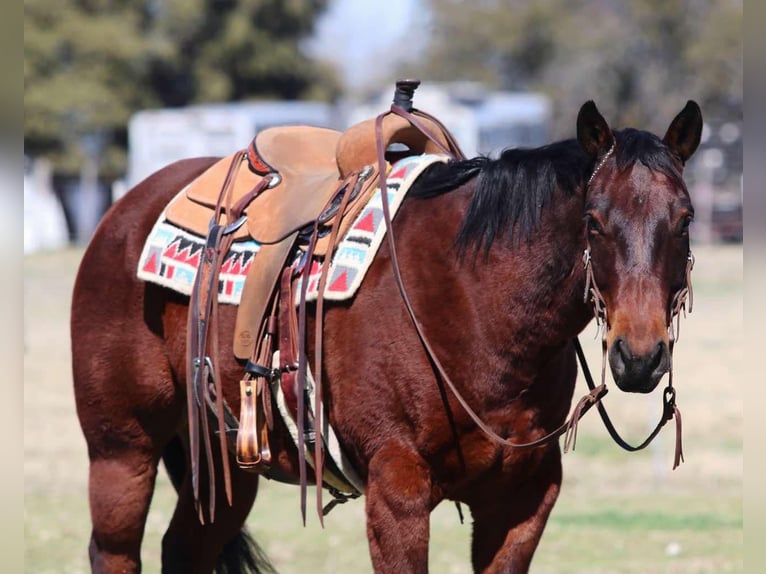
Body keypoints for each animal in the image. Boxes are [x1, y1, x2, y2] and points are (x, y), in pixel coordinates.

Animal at [70, 98, 704, 572]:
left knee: (183, 549)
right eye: (593, 221)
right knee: (113, 550)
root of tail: (123, 210)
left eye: (685, 219)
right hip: (121, 450)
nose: (640, 357)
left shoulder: (522, 503)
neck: (475, 302)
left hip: (227, 460)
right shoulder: (397, 493)